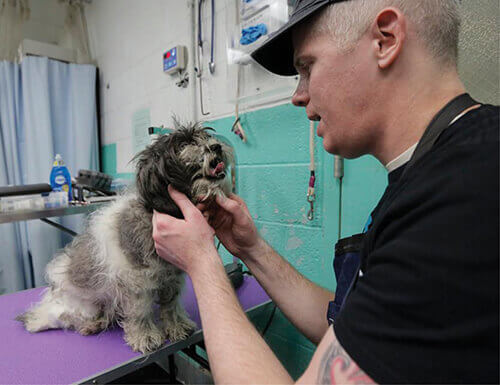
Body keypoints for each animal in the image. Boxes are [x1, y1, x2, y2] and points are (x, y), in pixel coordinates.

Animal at [16, 124, 234, 352]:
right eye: (184, 144)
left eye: (206, 136)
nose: (216, 146)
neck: (158, 213)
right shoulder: (136, 282)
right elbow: (140, 311)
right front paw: (145, 336)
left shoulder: (171, 278)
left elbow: (171, 305)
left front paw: (176, 326)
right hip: (82, 307)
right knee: (66, 318)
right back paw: (90, 324)